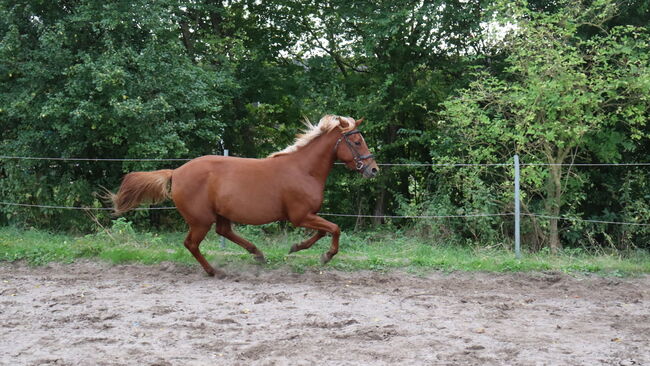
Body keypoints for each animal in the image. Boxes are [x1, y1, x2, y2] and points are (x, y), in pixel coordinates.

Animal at [109, 116, 378, 276]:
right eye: (356, 141)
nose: (373, 169)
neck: (304, 170)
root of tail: (176, 172)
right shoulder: (301, 216)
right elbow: (334, 228)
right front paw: (325, 256)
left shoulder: (307, 216)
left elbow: (324, 231)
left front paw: (297, 248)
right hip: (201, 220)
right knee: (192, 243)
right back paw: (214, 271)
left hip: (219, 214)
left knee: (224, 232)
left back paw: (257, 254)